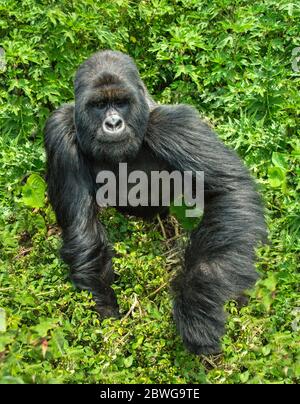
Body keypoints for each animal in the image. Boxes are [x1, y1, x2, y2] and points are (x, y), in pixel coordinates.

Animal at [44, 49, 264, 354]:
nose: (113, 123)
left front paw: (197, 307)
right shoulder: (59, 129)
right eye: (99, 105)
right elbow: (82, 230)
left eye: (121, 103)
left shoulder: (175, 124)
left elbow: (229, 190)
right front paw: (104, 314)